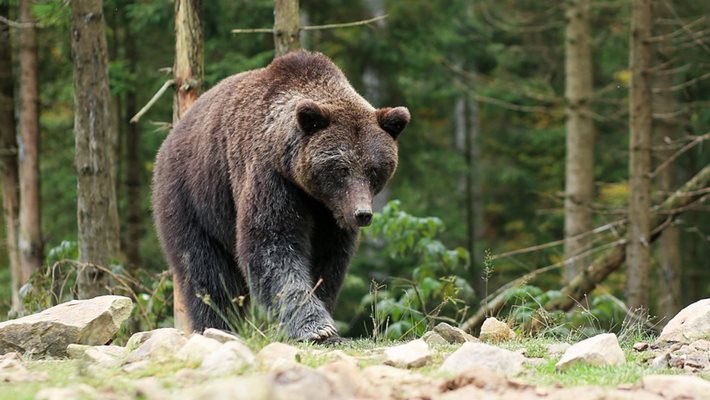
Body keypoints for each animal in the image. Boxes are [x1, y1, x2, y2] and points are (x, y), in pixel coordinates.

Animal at [154, 51, 412, 342]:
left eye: (374, 170)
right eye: (342, 169)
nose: (362, 214)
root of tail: (172, 135)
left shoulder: (329, 213)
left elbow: (328, 260)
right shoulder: (270, 178)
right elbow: (272, 243)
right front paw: (317, 327)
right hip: (193, 195)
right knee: (206, 270)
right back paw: (218, 324)